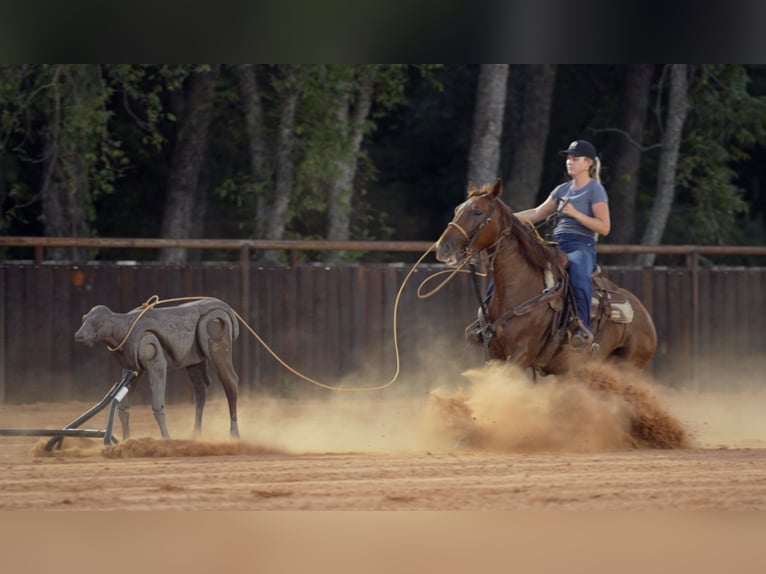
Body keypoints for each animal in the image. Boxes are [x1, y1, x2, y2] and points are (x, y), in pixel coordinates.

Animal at [434, 179, 657, 375]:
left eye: (477, 211)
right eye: (457, 210)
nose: (442, 248)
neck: (521, 287)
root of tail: (646, 318)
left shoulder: (521, 354)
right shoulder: (495, 353)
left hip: (625, 367)